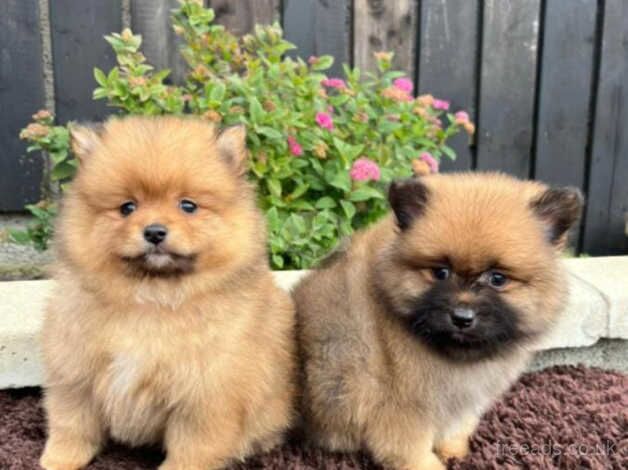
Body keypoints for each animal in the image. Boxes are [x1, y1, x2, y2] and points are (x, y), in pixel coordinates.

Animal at [40, 115, 296, 468]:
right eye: (127, 207)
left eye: (187, 206)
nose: (155, 232)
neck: (152, 298)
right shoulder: (74, 373)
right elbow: (72, 425)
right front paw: (57, 460)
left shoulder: (203, 395)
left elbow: (192, 448)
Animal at [294, 173, 584, 470]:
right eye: (440, 272)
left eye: (498, 279)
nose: (462, 317)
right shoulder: (402, 409)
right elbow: (412, 452)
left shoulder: (462, 402)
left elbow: (456, 429)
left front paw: (455, 452)